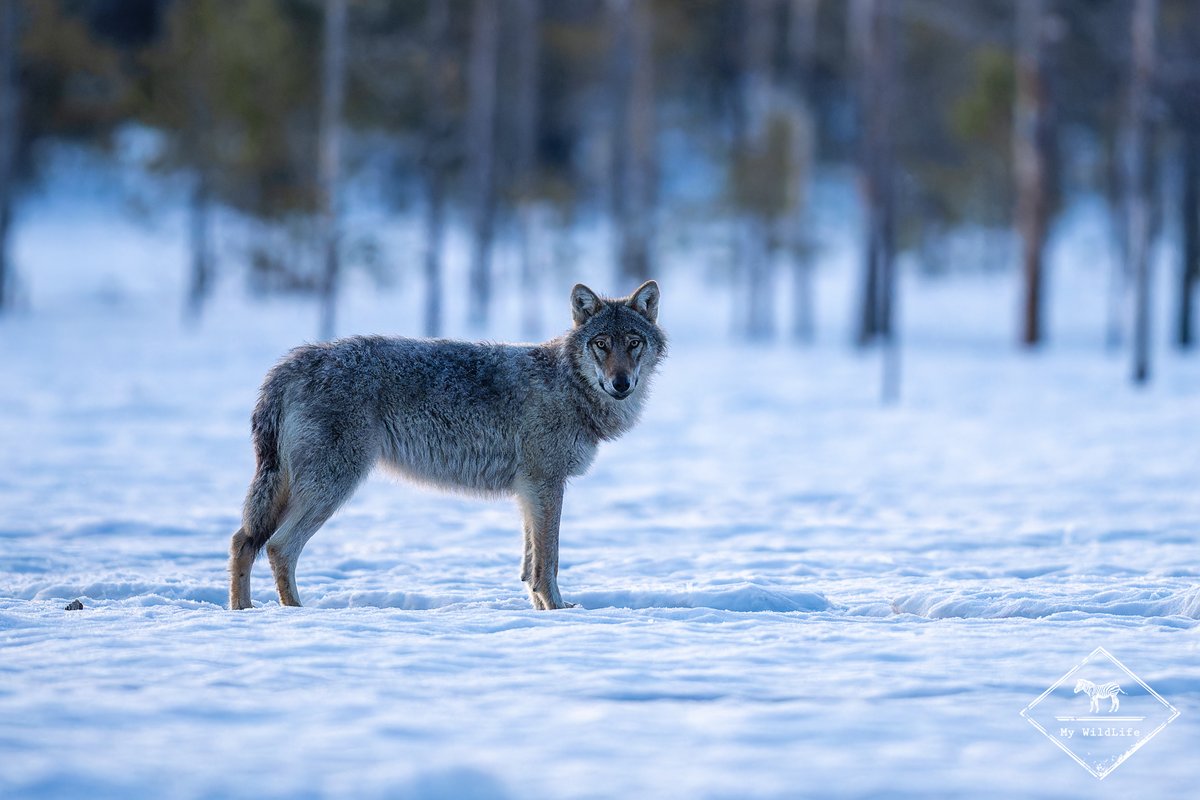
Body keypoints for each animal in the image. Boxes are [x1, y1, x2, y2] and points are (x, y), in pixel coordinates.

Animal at [228, 280, 666, 611]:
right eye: (601, 344)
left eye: (633, 342)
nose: (621, 383)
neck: (567, 386)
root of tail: (292, 362)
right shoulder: (546, 484)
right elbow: (548, 561)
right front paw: (558, 610)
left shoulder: (529, 491)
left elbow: (529, 564)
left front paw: (540, 611)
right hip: (332, 487)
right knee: (279, 547)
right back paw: (297, 615)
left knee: (242, 540)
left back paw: (243, 612)